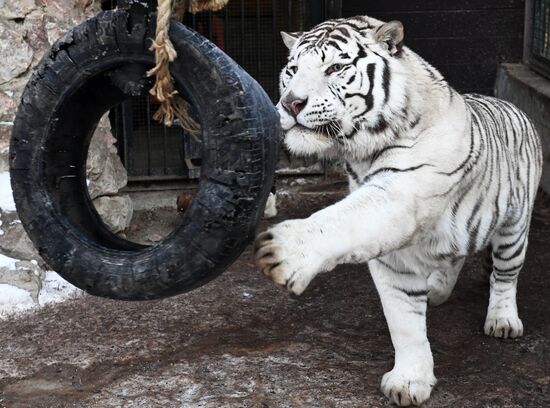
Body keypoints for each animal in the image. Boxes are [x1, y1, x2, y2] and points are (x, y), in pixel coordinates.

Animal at [256, 15, 544, 404]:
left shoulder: (402, 193)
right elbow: (403, 322)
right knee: (454, 255)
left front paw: (286, 251)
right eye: (292, 69)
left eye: (335, 68)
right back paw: (438, 290)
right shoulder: (393, 258)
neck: (361, 154)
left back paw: (502, 320)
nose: (291, 104)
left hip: (514, 229)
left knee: (504, 275)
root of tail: (513, 106)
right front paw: (409, 381)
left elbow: (347, 219)